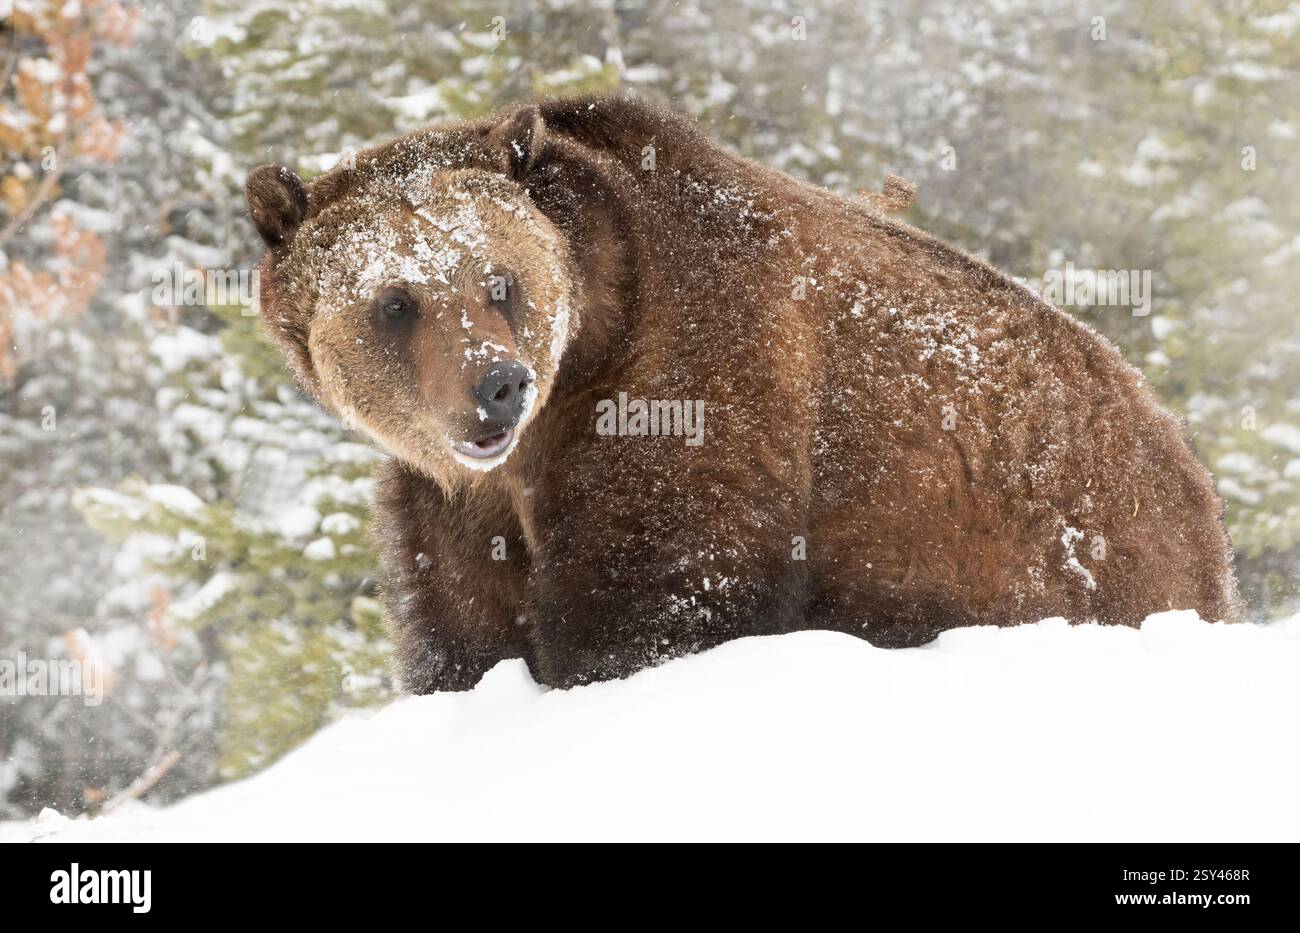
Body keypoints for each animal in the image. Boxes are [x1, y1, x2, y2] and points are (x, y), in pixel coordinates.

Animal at [245, 95, 1242, 692]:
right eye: (396, 300)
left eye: (500, 281)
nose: (498, 385)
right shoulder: (451, 503)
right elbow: (462, 629)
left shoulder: (684, 391)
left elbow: (657, 597)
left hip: (1076, 553)